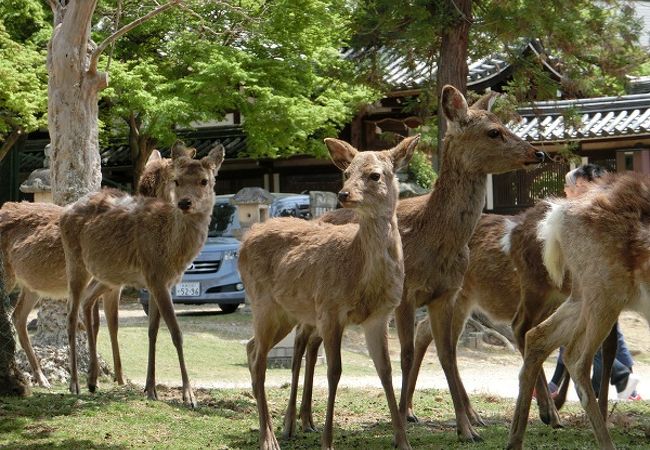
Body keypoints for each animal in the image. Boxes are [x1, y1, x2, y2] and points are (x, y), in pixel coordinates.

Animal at [0, 148, 187, 390]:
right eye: (176, 179)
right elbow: (97, 322)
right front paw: (96, 376)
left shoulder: (115, 287)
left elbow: (112, 323)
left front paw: (118, 377)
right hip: (9, 276)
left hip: (31, 286)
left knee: (18, 316)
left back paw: (41, 378)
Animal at [60, 142, 223, 404]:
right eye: (177, 180)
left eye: (204, 180)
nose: (185, 203)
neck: (172, 250)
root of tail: (63, 214)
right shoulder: (155, 274)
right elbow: (176, 332)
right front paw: (189, 396)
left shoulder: (162, 282)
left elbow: (153, 331)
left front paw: (150, 389)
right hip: (74, 262)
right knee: (71, 315)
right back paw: (74, 384)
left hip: (105, 274)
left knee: (87, 303)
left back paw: (92, 381)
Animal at [238, 136, 416, 450]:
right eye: (346, 173)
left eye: (374, 175)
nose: (344, 194)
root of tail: (243, 242)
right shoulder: (330, 310)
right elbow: (335, 372)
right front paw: (327, 441)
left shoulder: (380, 316)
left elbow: (385, 370)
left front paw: (403, 441)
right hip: (263, 303)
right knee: (260, 360)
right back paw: (269, 439)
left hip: (286, 313)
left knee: (251, 347)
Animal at [280, 82, 544, 442]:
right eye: (494, 132)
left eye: (502, 124)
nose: (537, 153)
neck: (434, 238)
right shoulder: (405, 295)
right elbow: (404, 355)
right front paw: (402, 420)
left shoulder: (446, 294)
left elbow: (447, 354)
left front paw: (466, 429)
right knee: (301, 341)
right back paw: (291, 423)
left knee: (312, 343)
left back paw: (307, 419)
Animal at [506, 172, 648, 450]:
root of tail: (558, 215)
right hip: (605, 291)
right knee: (576, 357)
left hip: (583, 295)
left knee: (536, 335)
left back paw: (518, 438)